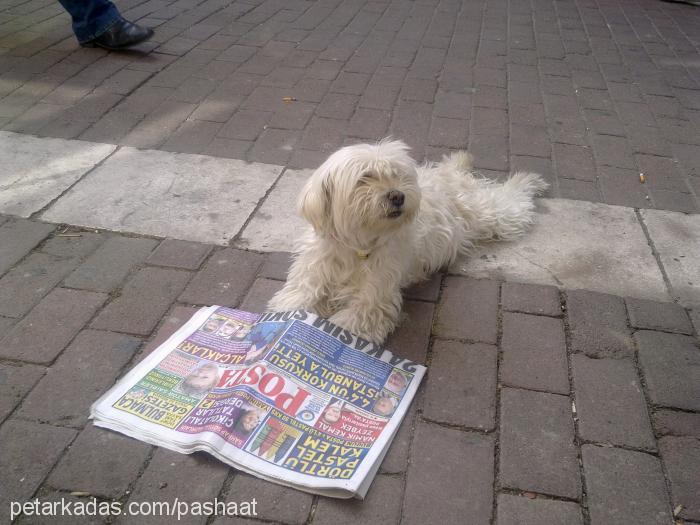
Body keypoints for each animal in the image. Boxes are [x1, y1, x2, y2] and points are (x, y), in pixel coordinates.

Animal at [268, 139, 548, 344]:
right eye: (364, 178)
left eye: (396, 175)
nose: (397, 196)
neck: (355, 247)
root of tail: (451, 176)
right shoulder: (310, 276)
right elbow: (293, 302)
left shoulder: (373, 300)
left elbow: (346, 322)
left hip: (493, 215)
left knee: (514, 200)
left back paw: (529, 179)